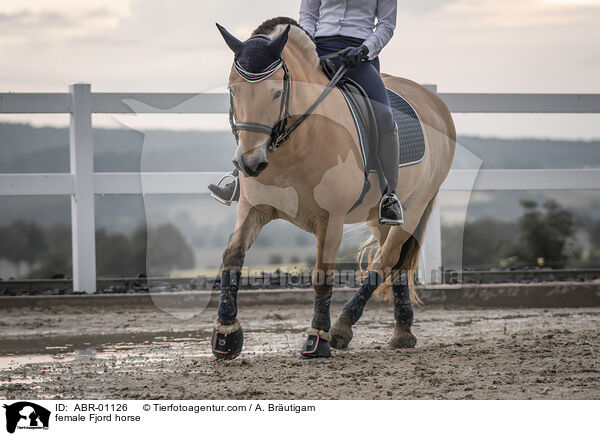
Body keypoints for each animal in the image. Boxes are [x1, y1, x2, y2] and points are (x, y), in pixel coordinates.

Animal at [211, 17, 454, 360]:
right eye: (233, 90)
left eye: (276, 93)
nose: (249, 163)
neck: (295, 143)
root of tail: (433, 101)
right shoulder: (253, 209)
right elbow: (232, 257)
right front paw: (225, 333)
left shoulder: (331, 220)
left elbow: (322, 276)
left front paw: (317, 339)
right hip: (379, 216)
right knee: (394, 262)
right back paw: (402, 332)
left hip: (415, 205)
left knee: (384, 260)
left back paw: (342, 328)